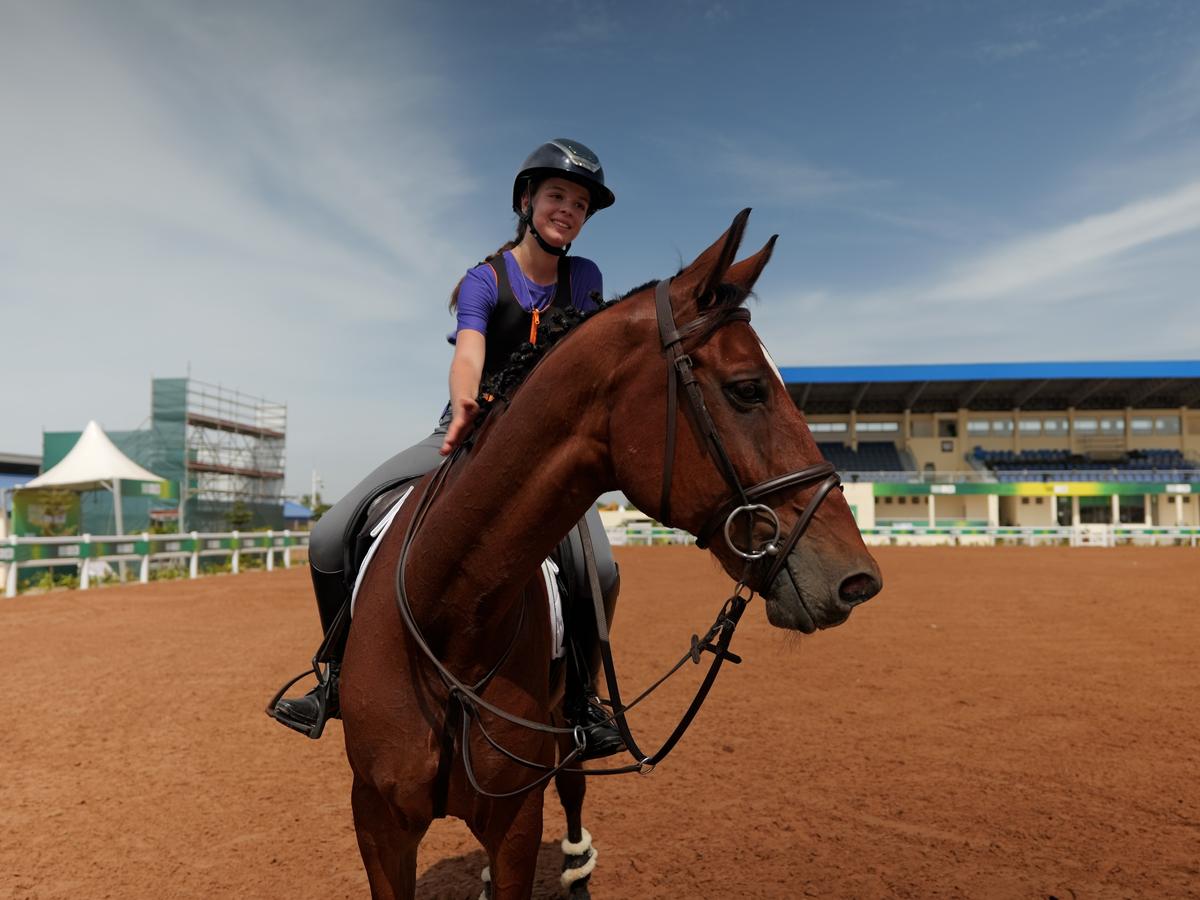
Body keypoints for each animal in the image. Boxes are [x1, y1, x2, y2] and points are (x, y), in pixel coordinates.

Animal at [339, 209, 883, 899]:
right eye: (748, 390)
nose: (856, 580)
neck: (446, 618)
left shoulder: (515, 817)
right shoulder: (377, 820)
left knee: (572, 782)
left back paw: (576, 864)